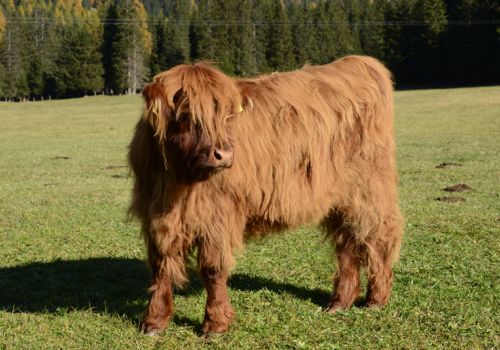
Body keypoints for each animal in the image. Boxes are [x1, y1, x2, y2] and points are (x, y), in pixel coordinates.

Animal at [128, 55, 402, 336]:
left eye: (227, 116)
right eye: (186, 115)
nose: (224, 154)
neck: (180, 179)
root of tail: (358, 62)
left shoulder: (217, 216)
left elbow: (213, 268)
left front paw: (215, 324)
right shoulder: (158, 215)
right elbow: (161, 266)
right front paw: (153, 321)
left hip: (370, 189)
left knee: (378, 236)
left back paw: (376, 299)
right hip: (340, 199)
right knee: (346, 243)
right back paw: (339, 302)